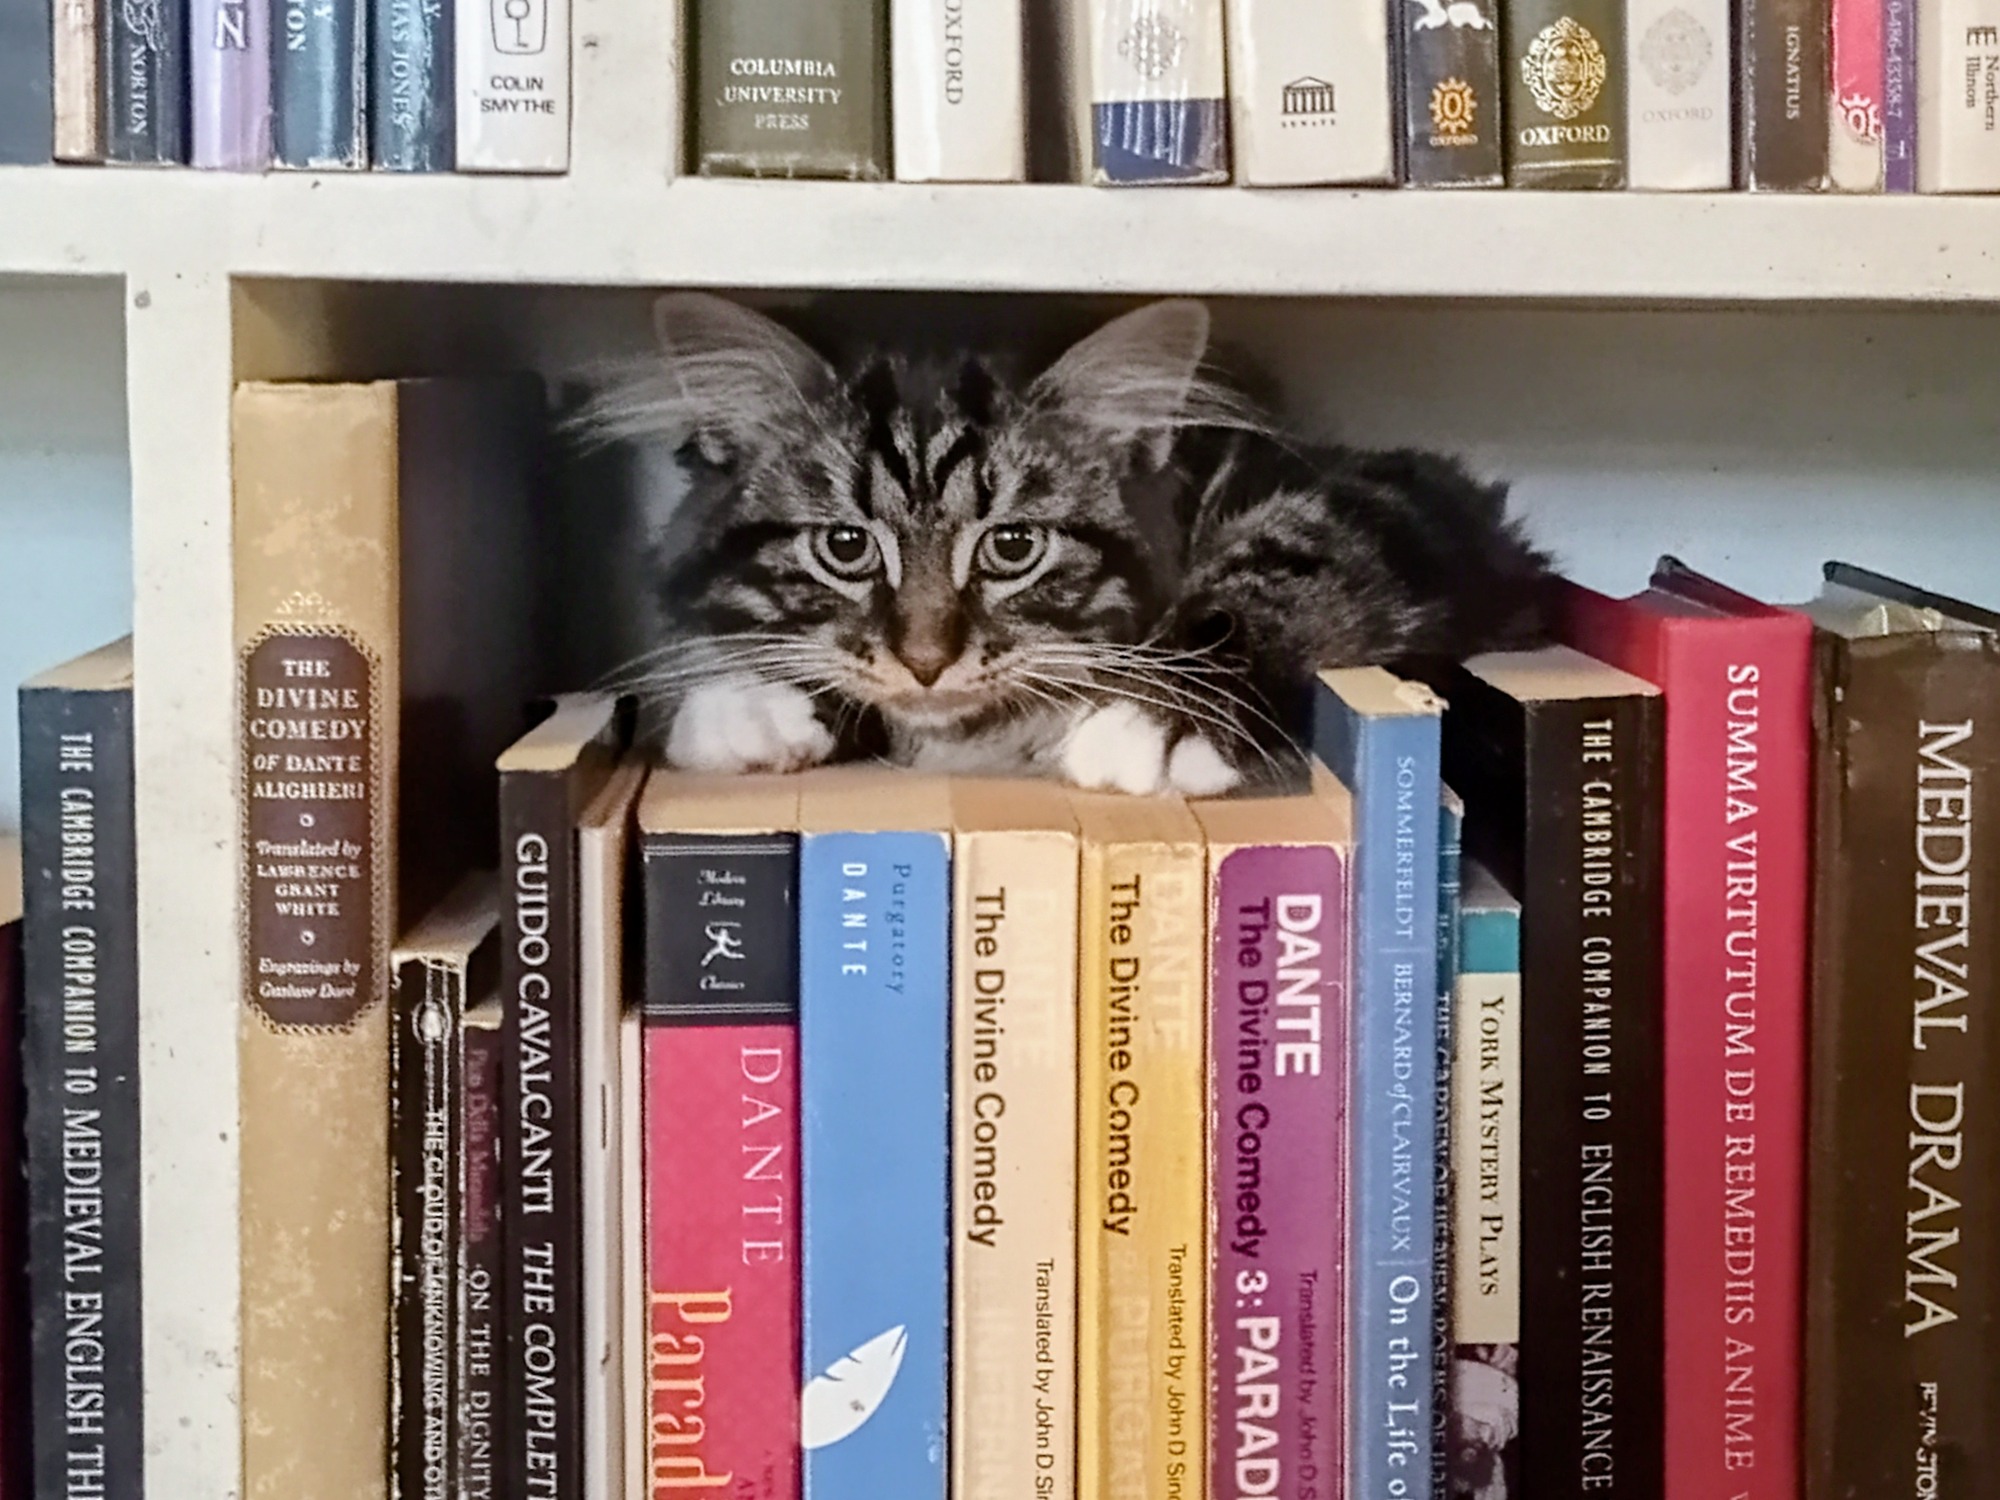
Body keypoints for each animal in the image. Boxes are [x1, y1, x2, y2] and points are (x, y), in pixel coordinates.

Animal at [570, 293, 1553, 796]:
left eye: (1013, 547)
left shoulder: (1381, 500)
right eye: (846, 546)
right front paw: (751, 707)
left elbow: (1274, 571)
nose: (925, 660)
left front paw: (1158, 719)